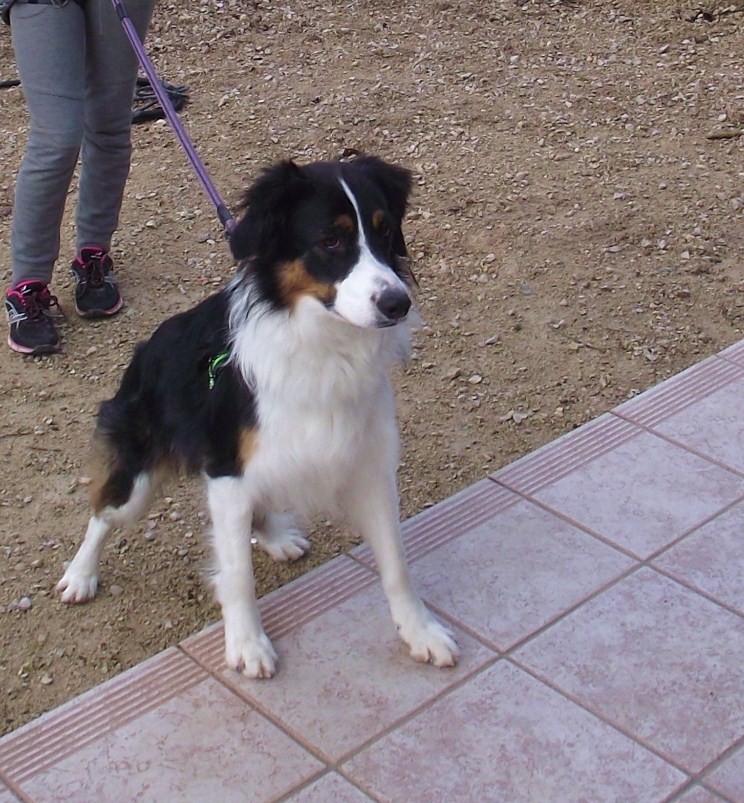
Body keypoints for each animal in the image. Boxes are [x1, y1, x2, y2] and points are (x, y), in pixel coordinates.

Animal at [58, 152, 462, 680]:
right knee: (104, 512)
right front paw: (247, 645)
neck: (322, 345)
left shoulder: (368, 464)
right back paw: (80, 574)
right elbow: (237, 574)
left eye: (386, 229)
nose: (398, 303)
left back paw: (274, 535)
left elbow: (396, 562)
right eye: (330, 240)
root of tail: (143, 351)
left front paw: (420, 633)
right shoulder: (227, 472)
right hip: (138, 475)